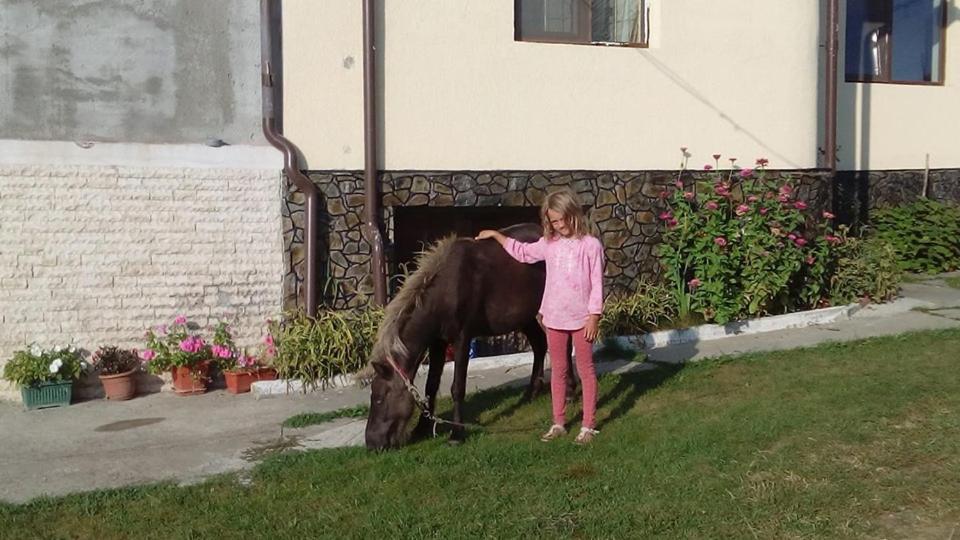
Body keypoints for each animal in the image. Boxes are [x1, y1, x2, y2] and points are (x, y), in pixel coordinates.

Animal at [364, 221, 568, 450]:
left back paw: (569, 392)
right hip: (525, 317)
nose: (372, 443)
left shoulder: (462, 338)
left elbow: (457, 387)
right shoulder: (438, 343)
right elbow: (431, 385)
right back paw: (531, 393)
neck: (445, 291)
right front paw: (422, 428)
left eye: (379, 398)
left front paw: (456, 433)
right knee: (540, 345)